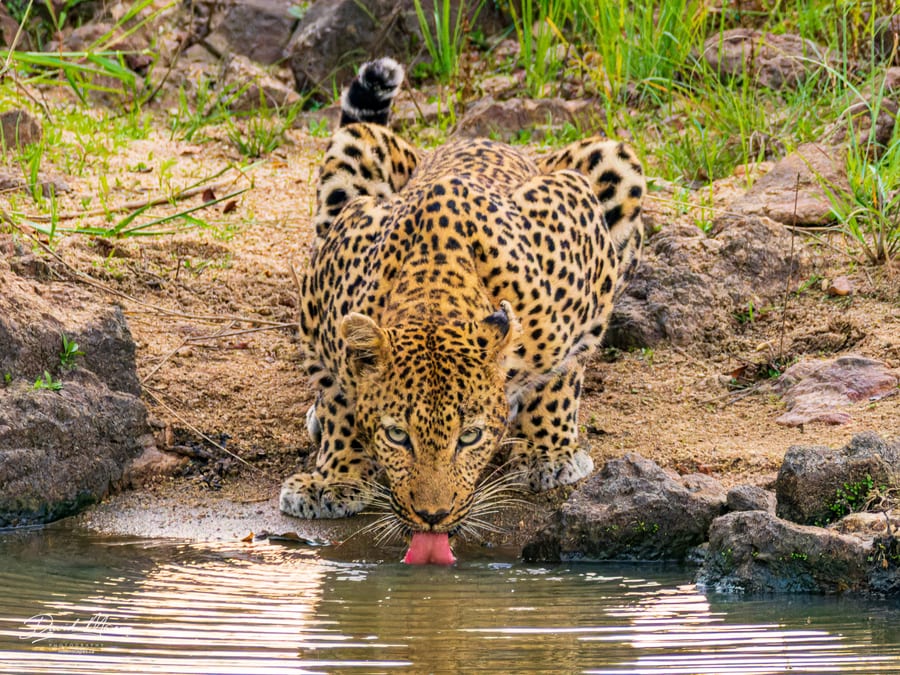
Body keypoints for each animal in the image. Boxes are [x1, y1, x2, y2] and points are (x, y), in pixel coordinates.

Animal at [280, 57, 645, 557]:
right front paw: (334, 477)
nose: (432, 517)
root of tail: (482, 138)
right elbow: (338, 396)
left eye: (468, 437)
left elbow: (563, 370)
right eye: (398, 436)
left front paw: (549, 454)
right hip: (352, 147)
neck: (433, 286)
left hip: (611, 160)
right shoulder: (319, 310)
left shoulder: (579, 228)